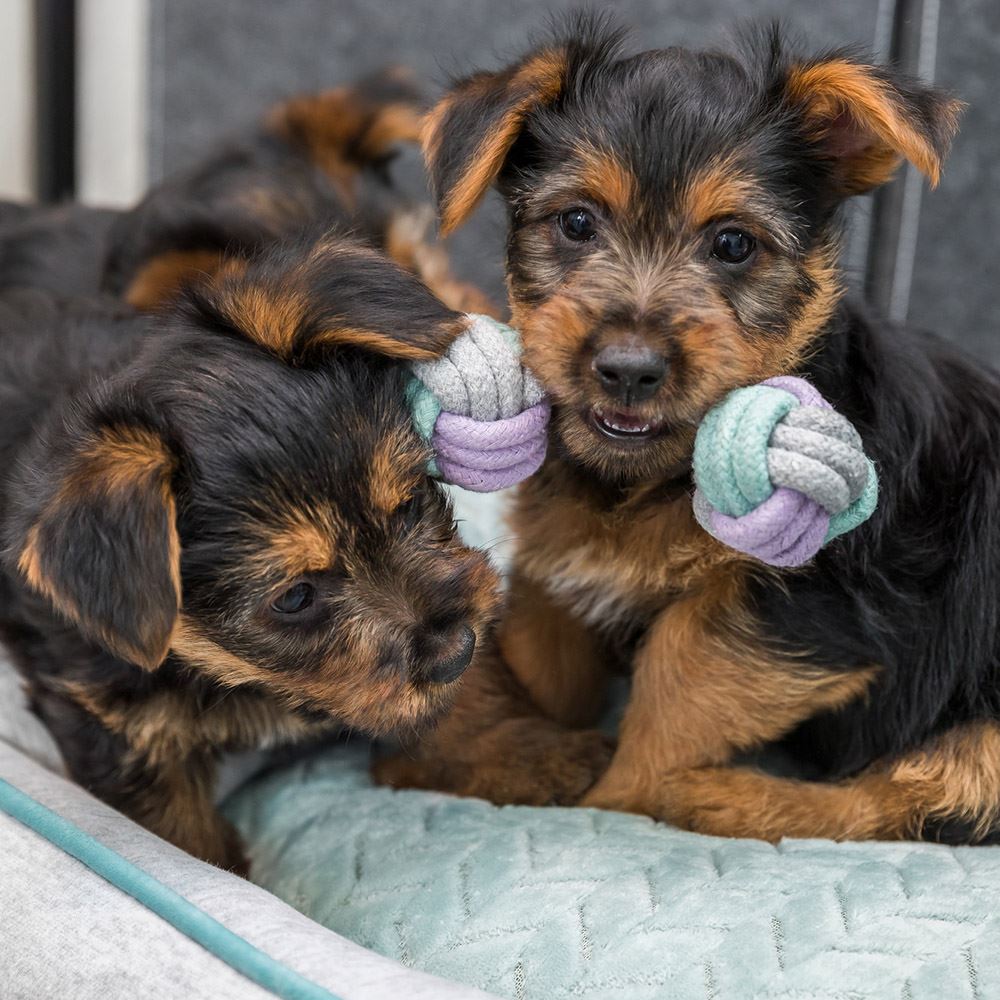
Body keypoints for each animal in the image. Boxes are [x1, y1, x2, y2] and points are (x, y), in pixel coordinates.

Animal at [378, 15, 1000, 844]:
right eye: (576, 223)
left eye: (733, 243)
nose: (627, 370)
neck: (646, 481)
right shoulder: (561, 571)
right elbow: (544, 659)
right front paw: (497, 750)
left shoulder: (800, 606)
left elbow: (677, 687)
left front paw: (619, 797)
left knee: (908, 799)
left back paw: (720, 799)